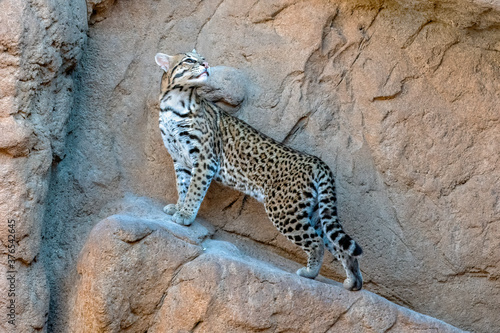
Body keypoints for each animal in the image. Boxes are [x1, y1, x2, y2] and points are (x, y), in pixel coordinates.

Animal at [154, 50, 362, 290]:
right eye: (189, 60)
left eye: (202, 57)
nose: (206, 64)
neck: (174, 102)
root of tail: (317, 161)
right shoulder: (180, 160)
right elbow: (183, 186)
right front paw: (179, 207)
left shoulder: (205, 158)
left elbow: (194, 190)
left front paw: (185, 215)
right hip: (316, 212)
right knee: (340, 246)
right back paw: (353, 282)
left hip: (284, 210)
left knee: (316, 242)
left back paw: (310, 273)